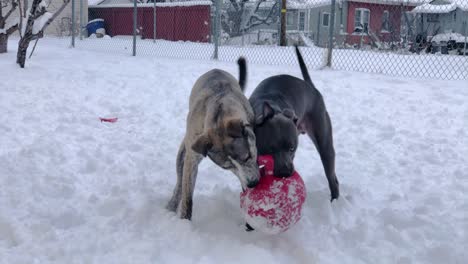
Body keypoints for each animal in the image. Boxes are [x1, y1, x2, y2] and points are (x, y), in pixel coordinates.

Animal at [250, 46, 338, 201]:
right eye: (270, 149)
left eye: (292, 148)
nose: (285, 172)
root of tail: (311, 87)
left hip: (325, 145)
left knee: (332, 178)